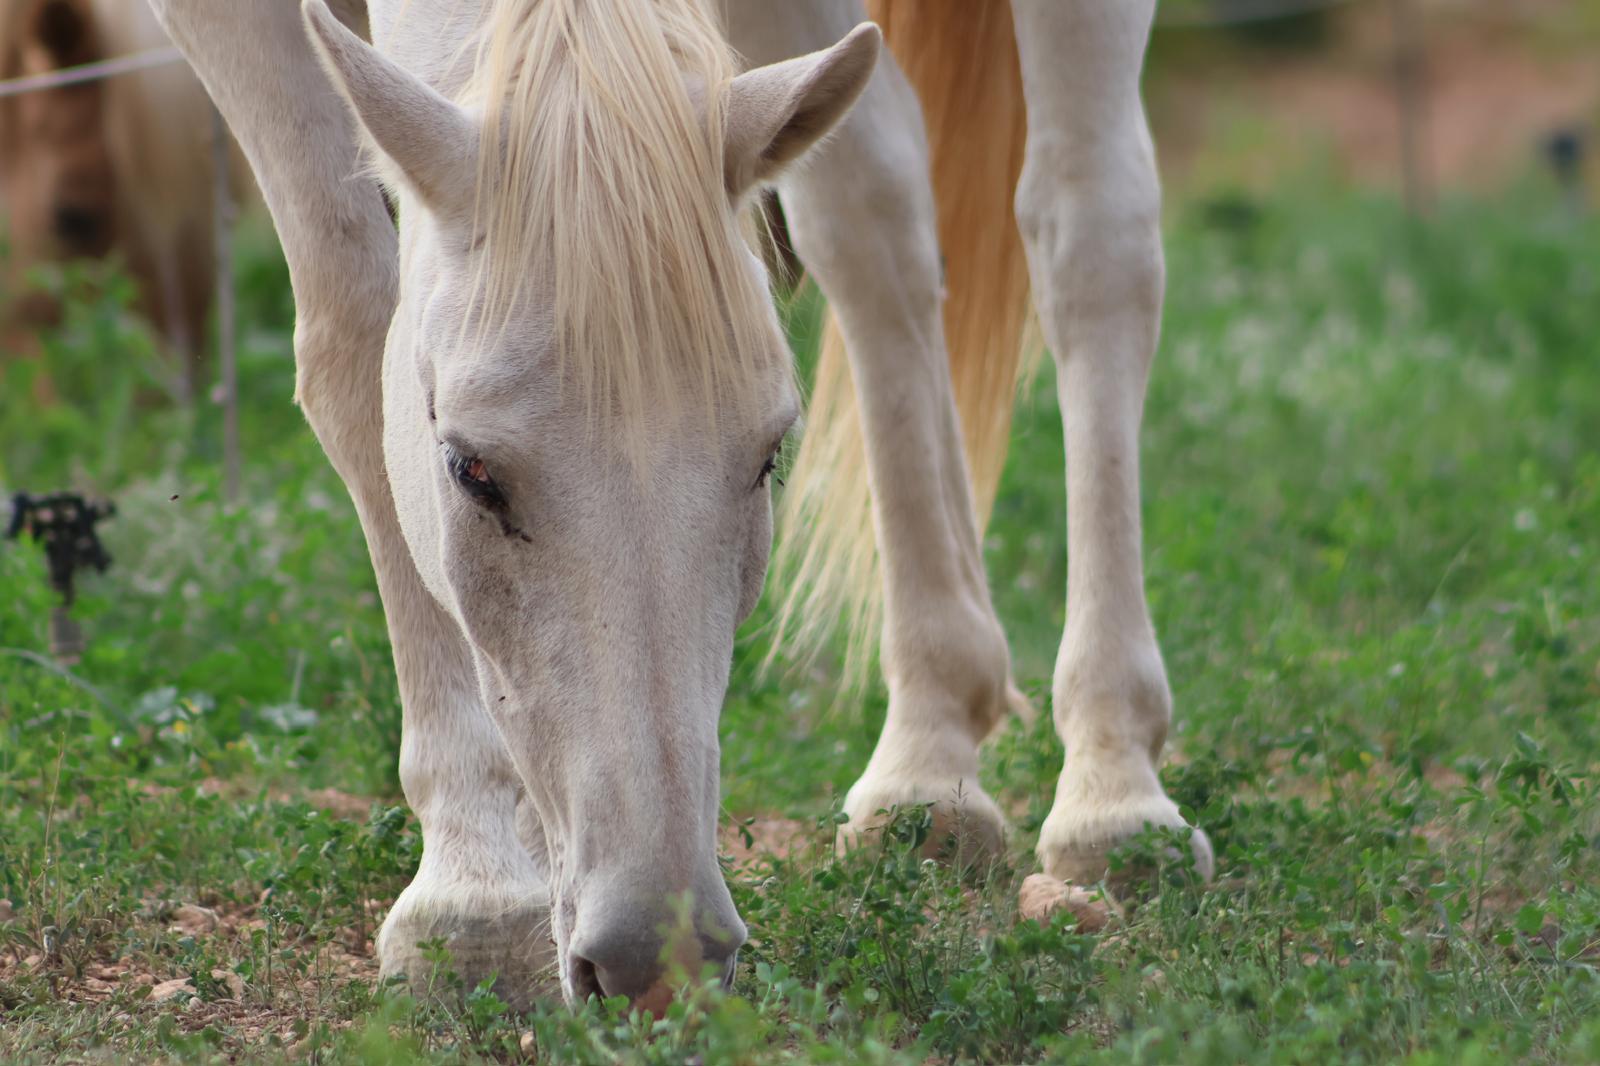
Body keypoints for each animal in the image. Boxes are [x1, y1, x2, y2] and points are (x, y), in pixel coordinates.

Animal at [147, 0, 1211, 1011]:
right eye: (468, 470)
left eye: (768, 458)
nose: (659, 962)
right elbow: (355, 320)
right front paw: (471, 895)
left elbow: (1092, 236)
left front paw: (1119, 787)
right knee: (872, 206)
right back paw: (931, 752)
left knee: (1057, 231)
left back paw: (1092, 786)